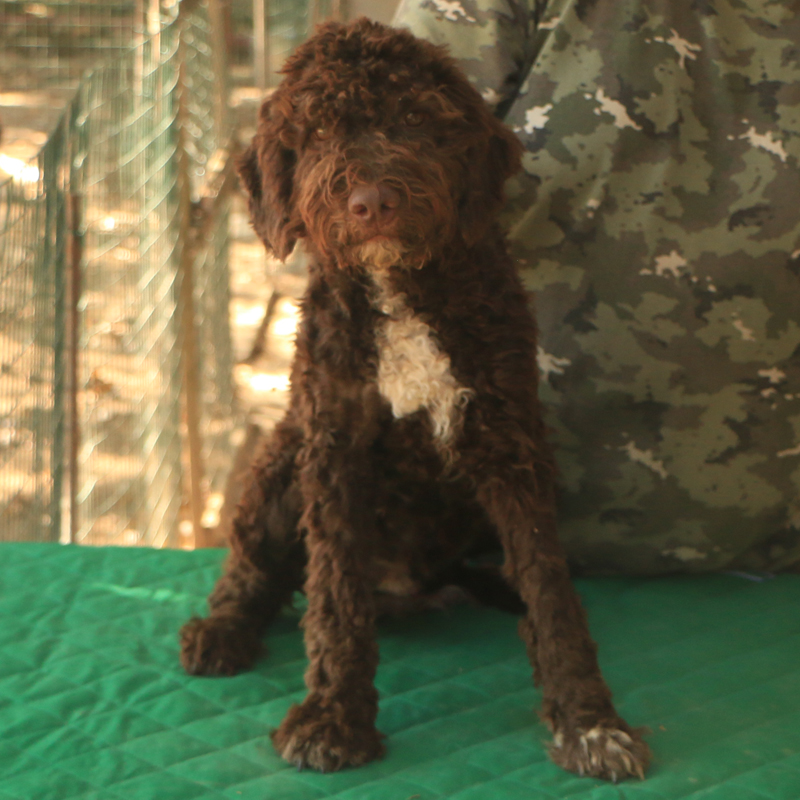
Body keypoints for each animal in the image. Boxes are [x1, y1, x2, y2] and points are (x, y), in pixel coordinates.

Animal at [180, 17, 648, 780]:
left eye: (414, 119)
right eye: (316, 131)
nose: (371, 202)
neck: (400, 287)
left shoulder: (509, 444)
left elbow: (548, 587)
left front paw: (590, 723)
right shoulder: (333, 446)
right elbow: (333, 595)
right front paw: (333, 717)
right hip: (281, 459)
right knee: (254, 567)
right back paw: (221, 630)